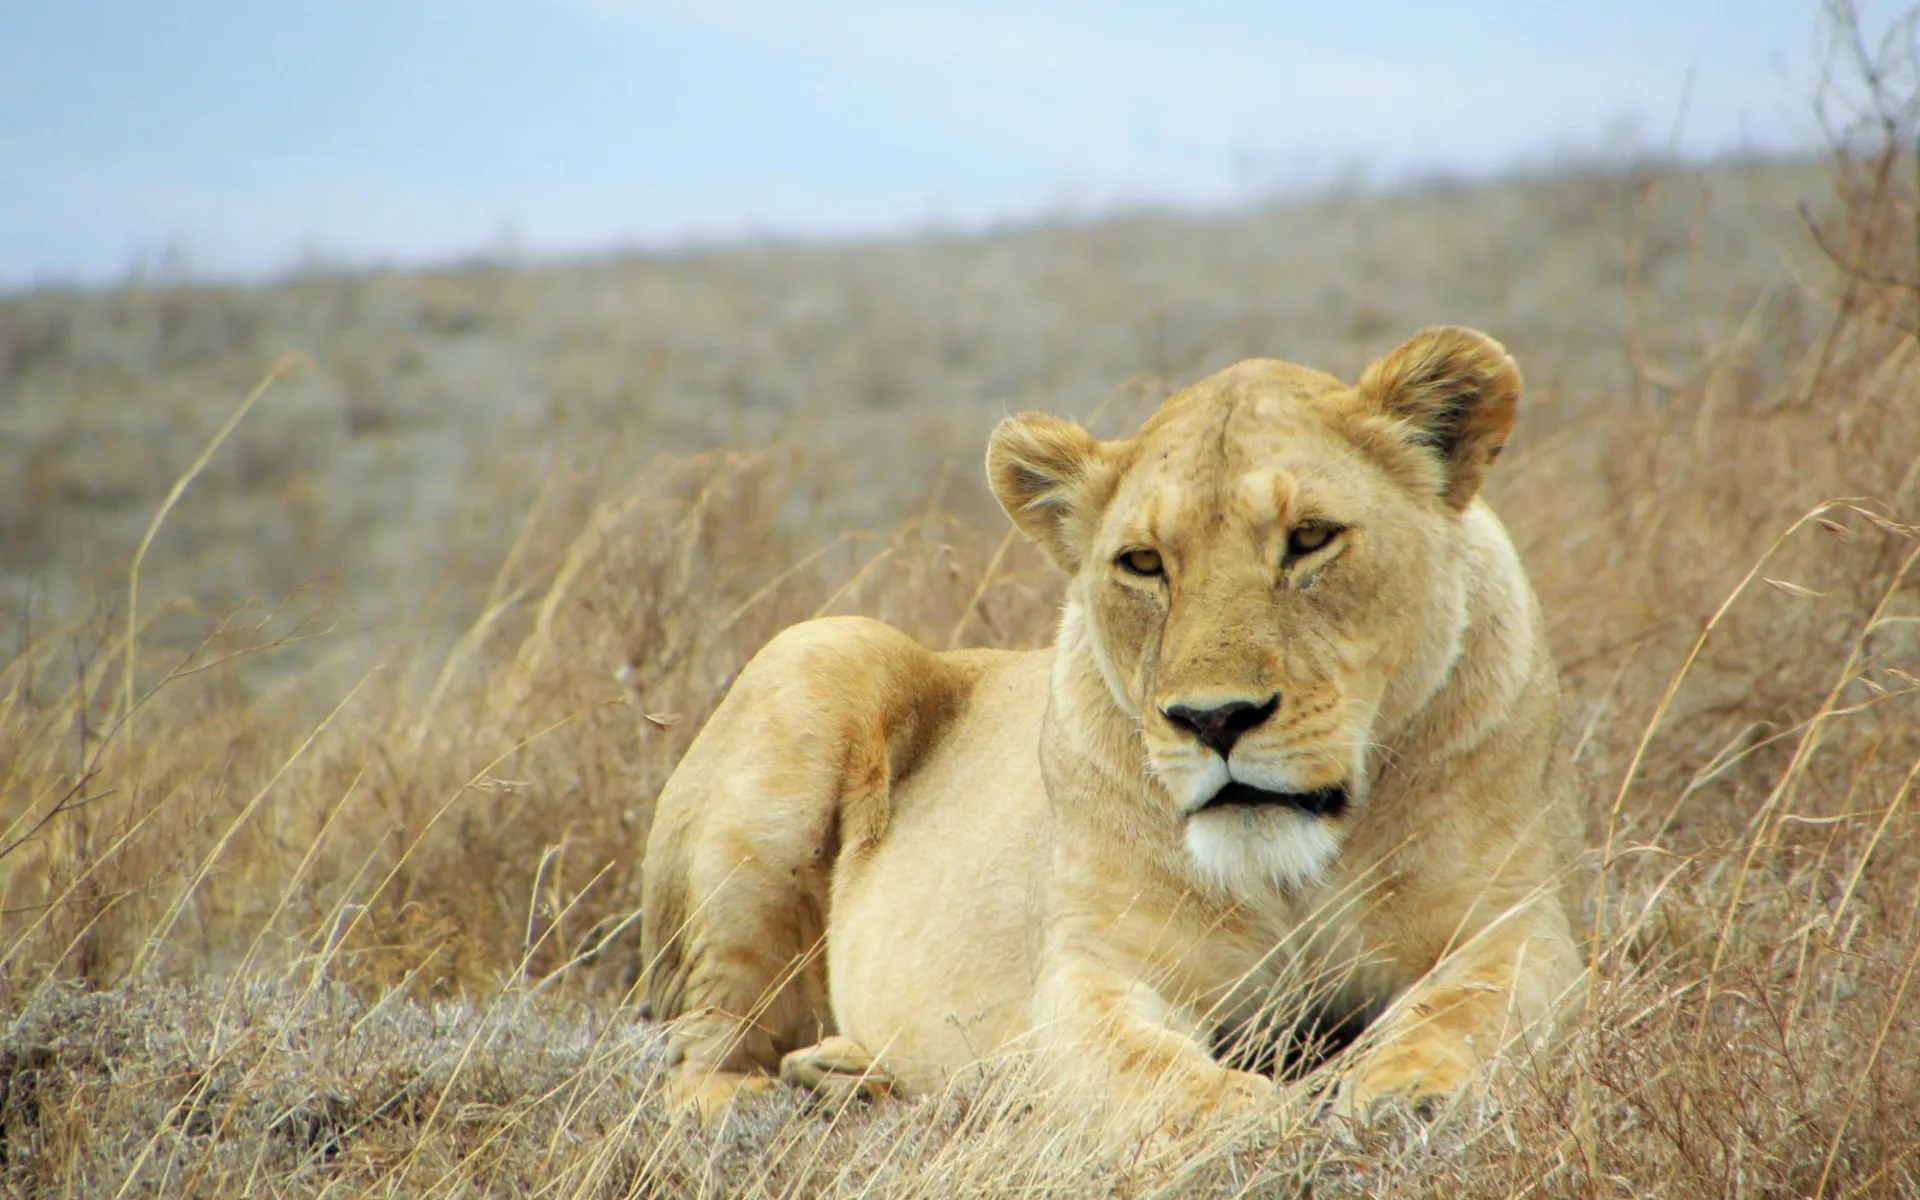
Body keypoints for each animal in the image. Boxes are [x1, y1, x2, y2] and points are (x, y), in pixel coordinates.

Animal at [639, 326, 1584, 1131]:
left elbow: (1467, 1009)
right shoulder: (1093, 974)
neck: (1293, 875)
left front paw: (1406, 1088)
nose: (1215, 719)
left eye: (1311, 538)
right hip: (819, 652)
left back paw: (850, 1074)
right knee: (698, 1047)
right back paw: (756, 1102)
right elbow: (1147, 1069)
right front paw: (1243, 1115)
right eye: (1143, 563)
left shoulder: (1517, 922)